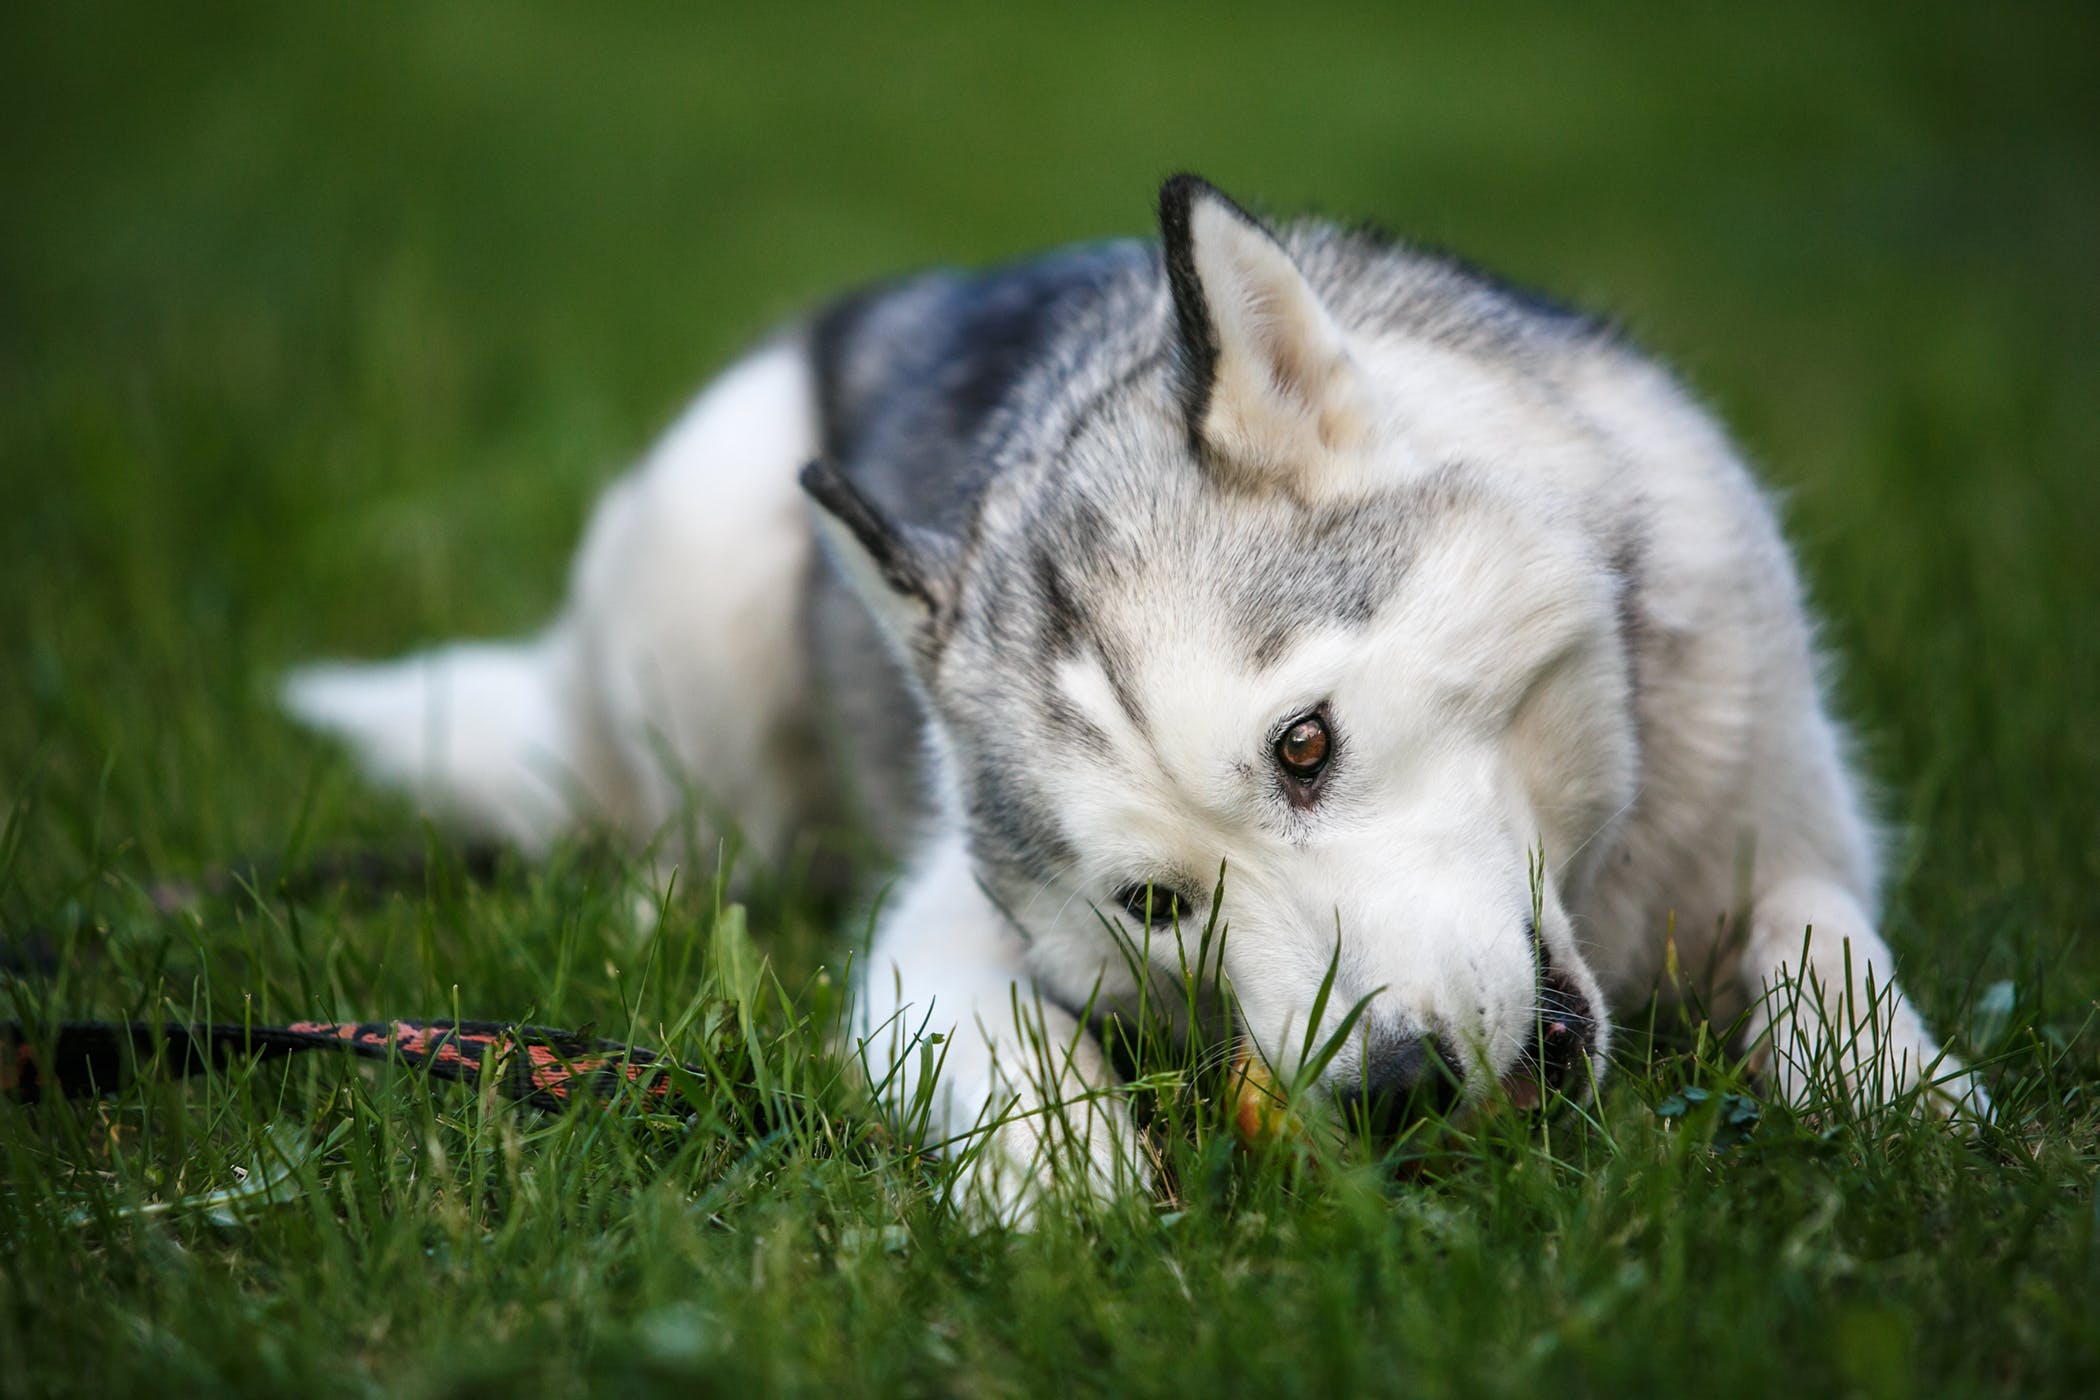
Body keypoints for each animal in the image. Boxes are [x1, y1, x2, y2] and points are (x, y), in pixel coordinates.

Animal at [283, 175, 1982, 1217]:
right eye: (1156, 906)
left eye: (1306, 746)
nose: (1398, 1088)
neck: (1609, 878)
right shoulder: (932, 932)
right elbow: (996, 1056)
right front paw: (1066, 1193)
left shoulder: (1789, 825)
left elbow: (1827, 952)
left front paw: (1913, 1102)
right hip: (701, 570)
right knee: (672, 841)